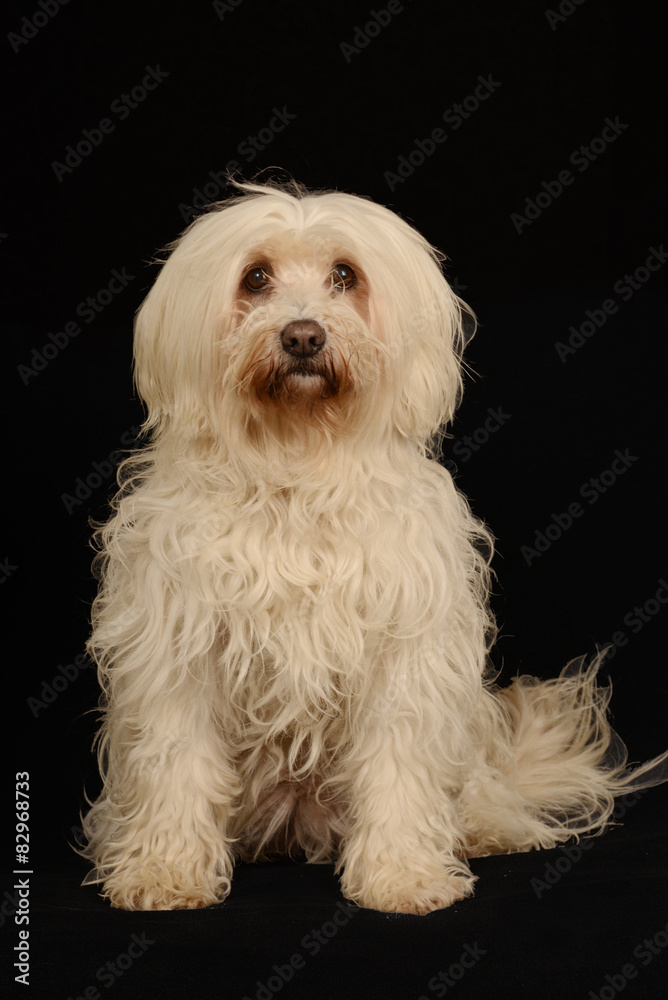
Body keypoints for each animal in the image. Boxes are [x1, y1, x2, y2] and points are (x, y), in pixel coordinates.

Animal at [83, 180, 668, 916]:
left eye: (344, 275)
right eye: (255, 278)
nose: (303, 334)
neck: (298, 466)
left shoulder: (402, 656)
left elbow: (398, 770)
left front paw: (401, 876)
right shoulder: (180, 651)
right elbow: (176, 765)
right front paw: (165, 871)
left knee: (474, 792)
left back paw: (482, 829)